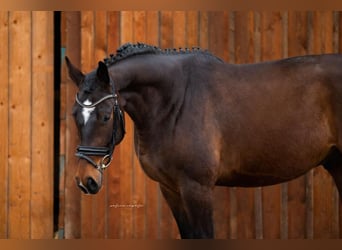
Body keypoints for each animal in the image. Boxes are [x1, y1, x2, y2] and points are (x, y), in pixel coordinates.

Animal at [66, 42, 342, 238]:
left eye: (104, 116)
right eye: (75, 115)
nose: (85, 180)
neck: (175, 100)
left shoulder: (197, 188)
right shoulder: (171, 189)